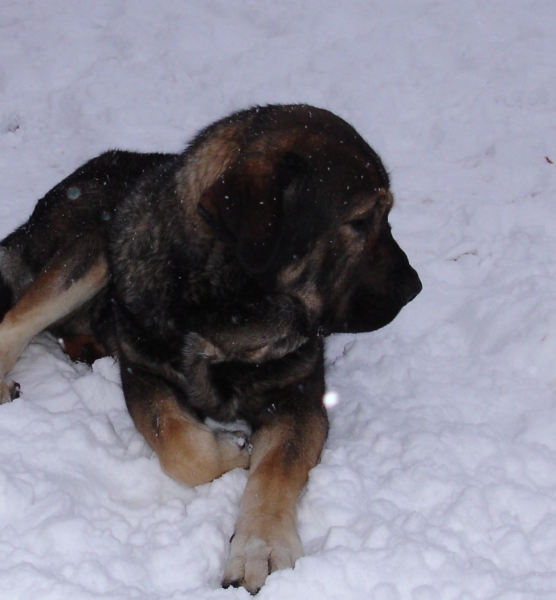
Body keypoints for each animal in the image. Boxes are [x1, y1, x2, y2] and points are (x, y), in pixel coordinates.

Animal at [0, 105, 422, 592]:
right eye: (360, 220)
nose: (415, 288)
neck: (226, 306)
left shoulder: (298, 396)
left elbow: (275, 470)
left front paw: (262, 545)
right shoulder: (143, 374)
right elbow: (183, 447)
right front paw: (234, 450)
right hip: (93, 245)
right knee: (16, 320)